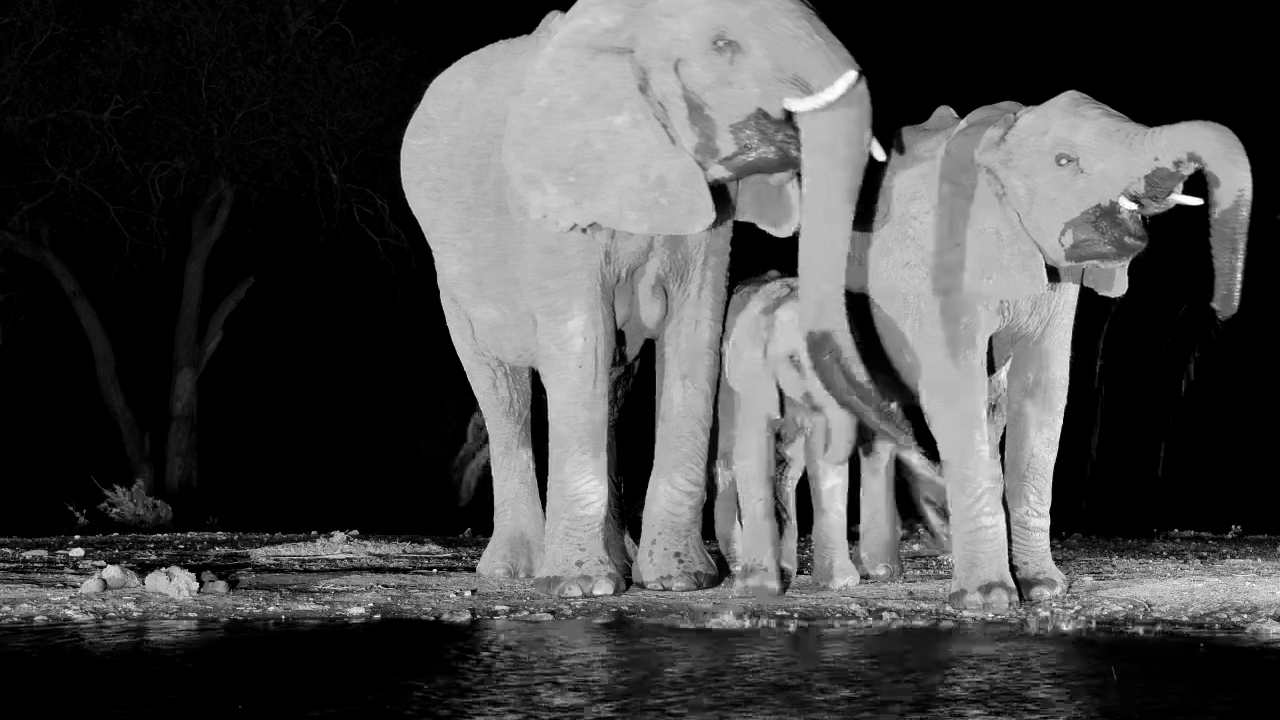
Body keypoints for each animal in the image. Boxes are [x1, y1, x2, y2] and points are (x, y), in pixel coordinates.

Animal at [399, 0, 888, 599]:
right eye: (724, 46)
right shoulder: (557, 198)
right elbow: (581, 341)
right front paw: (580, 588)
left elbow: (696, 334)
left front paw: (682, 581)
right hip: (454, 277)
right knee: (502, 391)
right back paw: (515, 569)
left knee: (611, 390)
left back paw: (618, 560)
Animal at [810, 92, 1252, 611]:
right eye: (1064, 161)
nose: (1222, 311)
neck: (996, 142)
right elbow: (955, 387)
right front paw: (987, 602)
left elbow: (1042, 391)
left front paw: (1044, 590)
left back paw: (882, 573)